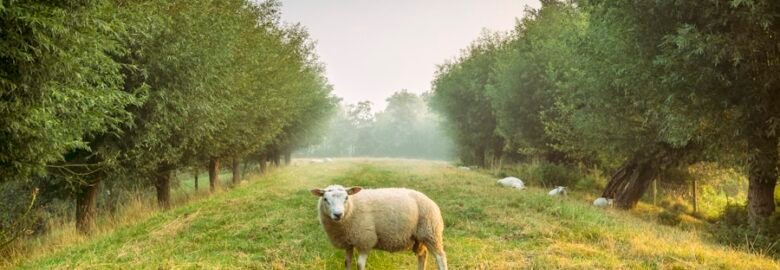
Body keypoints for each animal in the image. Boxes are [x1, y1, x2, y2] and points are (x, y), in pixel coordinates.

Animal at [310, 185, 448, 270]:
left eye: (346, 198)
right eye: (325, 199)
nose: (338, 214)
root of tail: (429, 199)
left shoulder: (365, 240)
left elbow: (359, 265)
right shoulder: (348, 242)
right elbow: (347, 262)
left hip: (431, 232)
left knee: (440, 257)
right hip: (419, 238)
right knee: (422, 255)